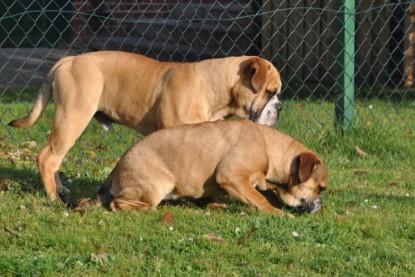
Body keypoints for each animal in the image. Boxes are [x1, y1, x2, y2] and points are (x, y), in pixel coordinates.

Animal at [8, 51, 284, 198]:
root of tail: (69, 60)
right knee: (48, 158)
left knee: (55, 158)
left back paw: (61, 189)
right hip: (72, 118)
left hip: (70, 122)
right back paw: (53, 196)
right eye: (270, 92)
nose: (280, 108)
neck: (214, 88)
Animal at [97, 118, 328, 216]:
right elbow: (261, 200)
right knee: (118, 204)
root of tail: (117, 168)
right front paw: (278, 213)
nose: (321, 202)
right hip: (155, 188)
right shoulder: (232, 177)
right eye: (321, 188)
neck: (270, 149)